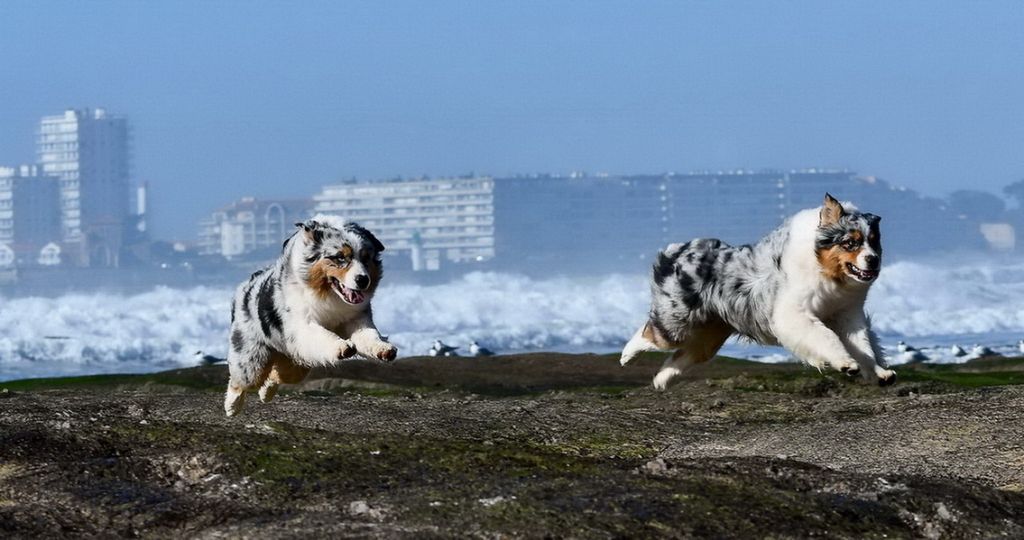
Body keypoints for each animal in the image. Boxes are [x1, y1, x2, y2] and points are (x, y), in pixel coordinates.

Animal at [224, 213, 395, 416]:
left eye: (366, 258)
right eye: (340, 257)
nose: (363, 280)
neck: (329, 295)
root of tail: (245, 287)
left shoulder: (356, 318)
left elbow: (369, 335)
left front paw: (384, 349)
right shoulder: (303, 326)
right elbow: (322, 334)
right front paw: (341, 347)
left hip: (296, 362)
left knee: (276, 375)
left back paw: (266, 393)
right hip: (253, 359)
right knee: (242, 380)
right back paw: (232, 406)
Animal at [614, 194, 897, 389]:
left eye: (874, 242)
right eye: (850, 242)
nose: (873, 260)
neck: (826, 271)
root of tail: (676, 250)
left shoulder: (847, 315)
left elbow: (864, 346)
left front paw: (880, 373)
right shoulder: (795, 314)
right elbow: (827, 338)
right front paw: (845, 364)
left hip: (709, 336)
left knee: (683, 355)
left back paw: (661, 380)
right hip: (678, 321)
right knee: (652, 333)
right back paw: (627, 357)